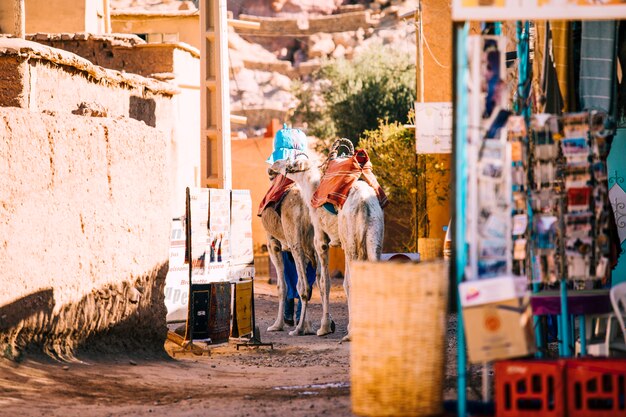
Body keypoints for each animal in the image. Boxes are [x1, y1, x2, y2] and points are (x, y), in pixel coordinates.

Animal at [258, 166, 322, 334]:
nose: (270, 172)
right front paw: (308, 325)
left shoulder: (273, 243)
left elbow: (282, 286)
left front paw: (277, 325)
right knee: (320, 282)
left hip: (295, 242)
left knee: (304, 286)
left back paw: (298, 329)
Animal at [272, 141, 386, 340]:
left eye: (289, 163)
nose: (273, 166)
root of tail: (365, 204)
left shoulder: (320, 240)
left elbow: (324, 282)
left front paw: (323, 328)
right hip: (375, 234)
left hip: (352, 240)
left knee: (352, 280)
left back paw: (350, 333)